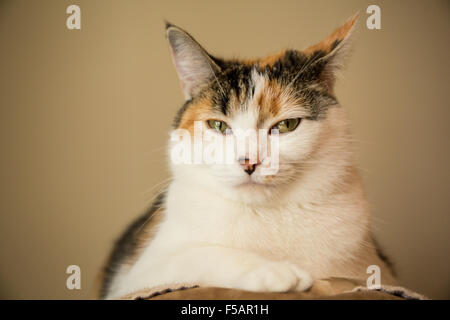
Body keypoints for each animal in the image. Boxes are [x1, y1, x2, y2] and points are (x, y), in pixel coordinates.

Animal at [100, 14, 396, 300]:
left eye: (286, 125)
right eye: (218, 126)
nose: (249, 161)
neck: (266, 216)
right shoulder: (139, 275)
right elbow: (201, 254)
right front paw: (275, 271)